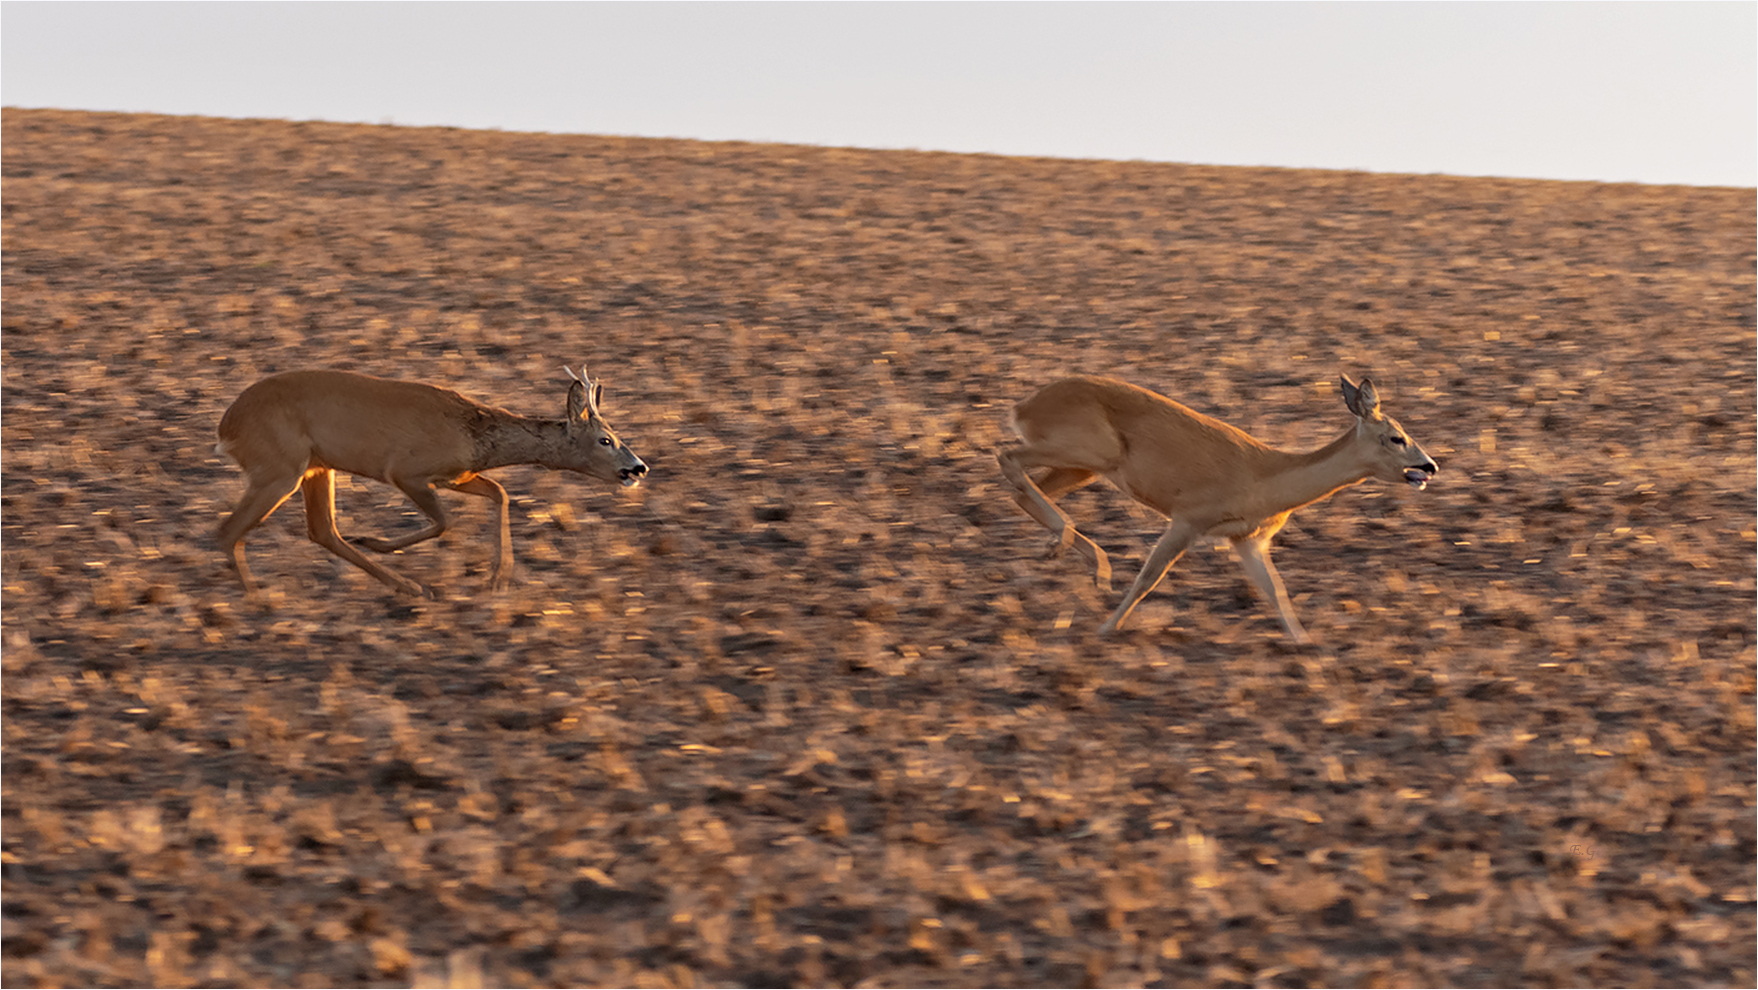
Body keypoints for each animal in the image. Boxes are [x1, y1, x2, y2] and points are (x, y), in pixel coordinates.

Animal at [215, 363, 646, 597]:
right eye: (606, 440)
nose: (638, 467)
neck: (474, 435)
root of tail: (226, 428)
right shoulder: (406, 471)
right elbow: (444, 522)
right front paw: (379, 541)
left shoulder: (457, 476)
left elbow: (500, 493)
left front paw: (499, 579)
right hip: (279, 466)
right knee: (228, 529)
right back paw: (256, 597)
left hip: (317, 466)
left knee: (322, 530)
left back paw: (408, 586)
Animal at [998, 374, 1434, 643]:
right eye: (1396, 437)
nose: (1428, 466)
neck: (1264, 475)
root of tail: (1024, 405)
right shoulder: (1187, 521)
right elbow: (1148, 579)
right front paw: (1106, 628)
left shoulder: (1248, 541)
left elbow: (1276, 591)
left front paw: (1305, 641)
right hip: (1089, 454)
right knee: (1007, 456)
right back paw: (1077, 551)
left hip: (1084, 466)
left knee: (1022, 488)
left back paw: (1083, 560)